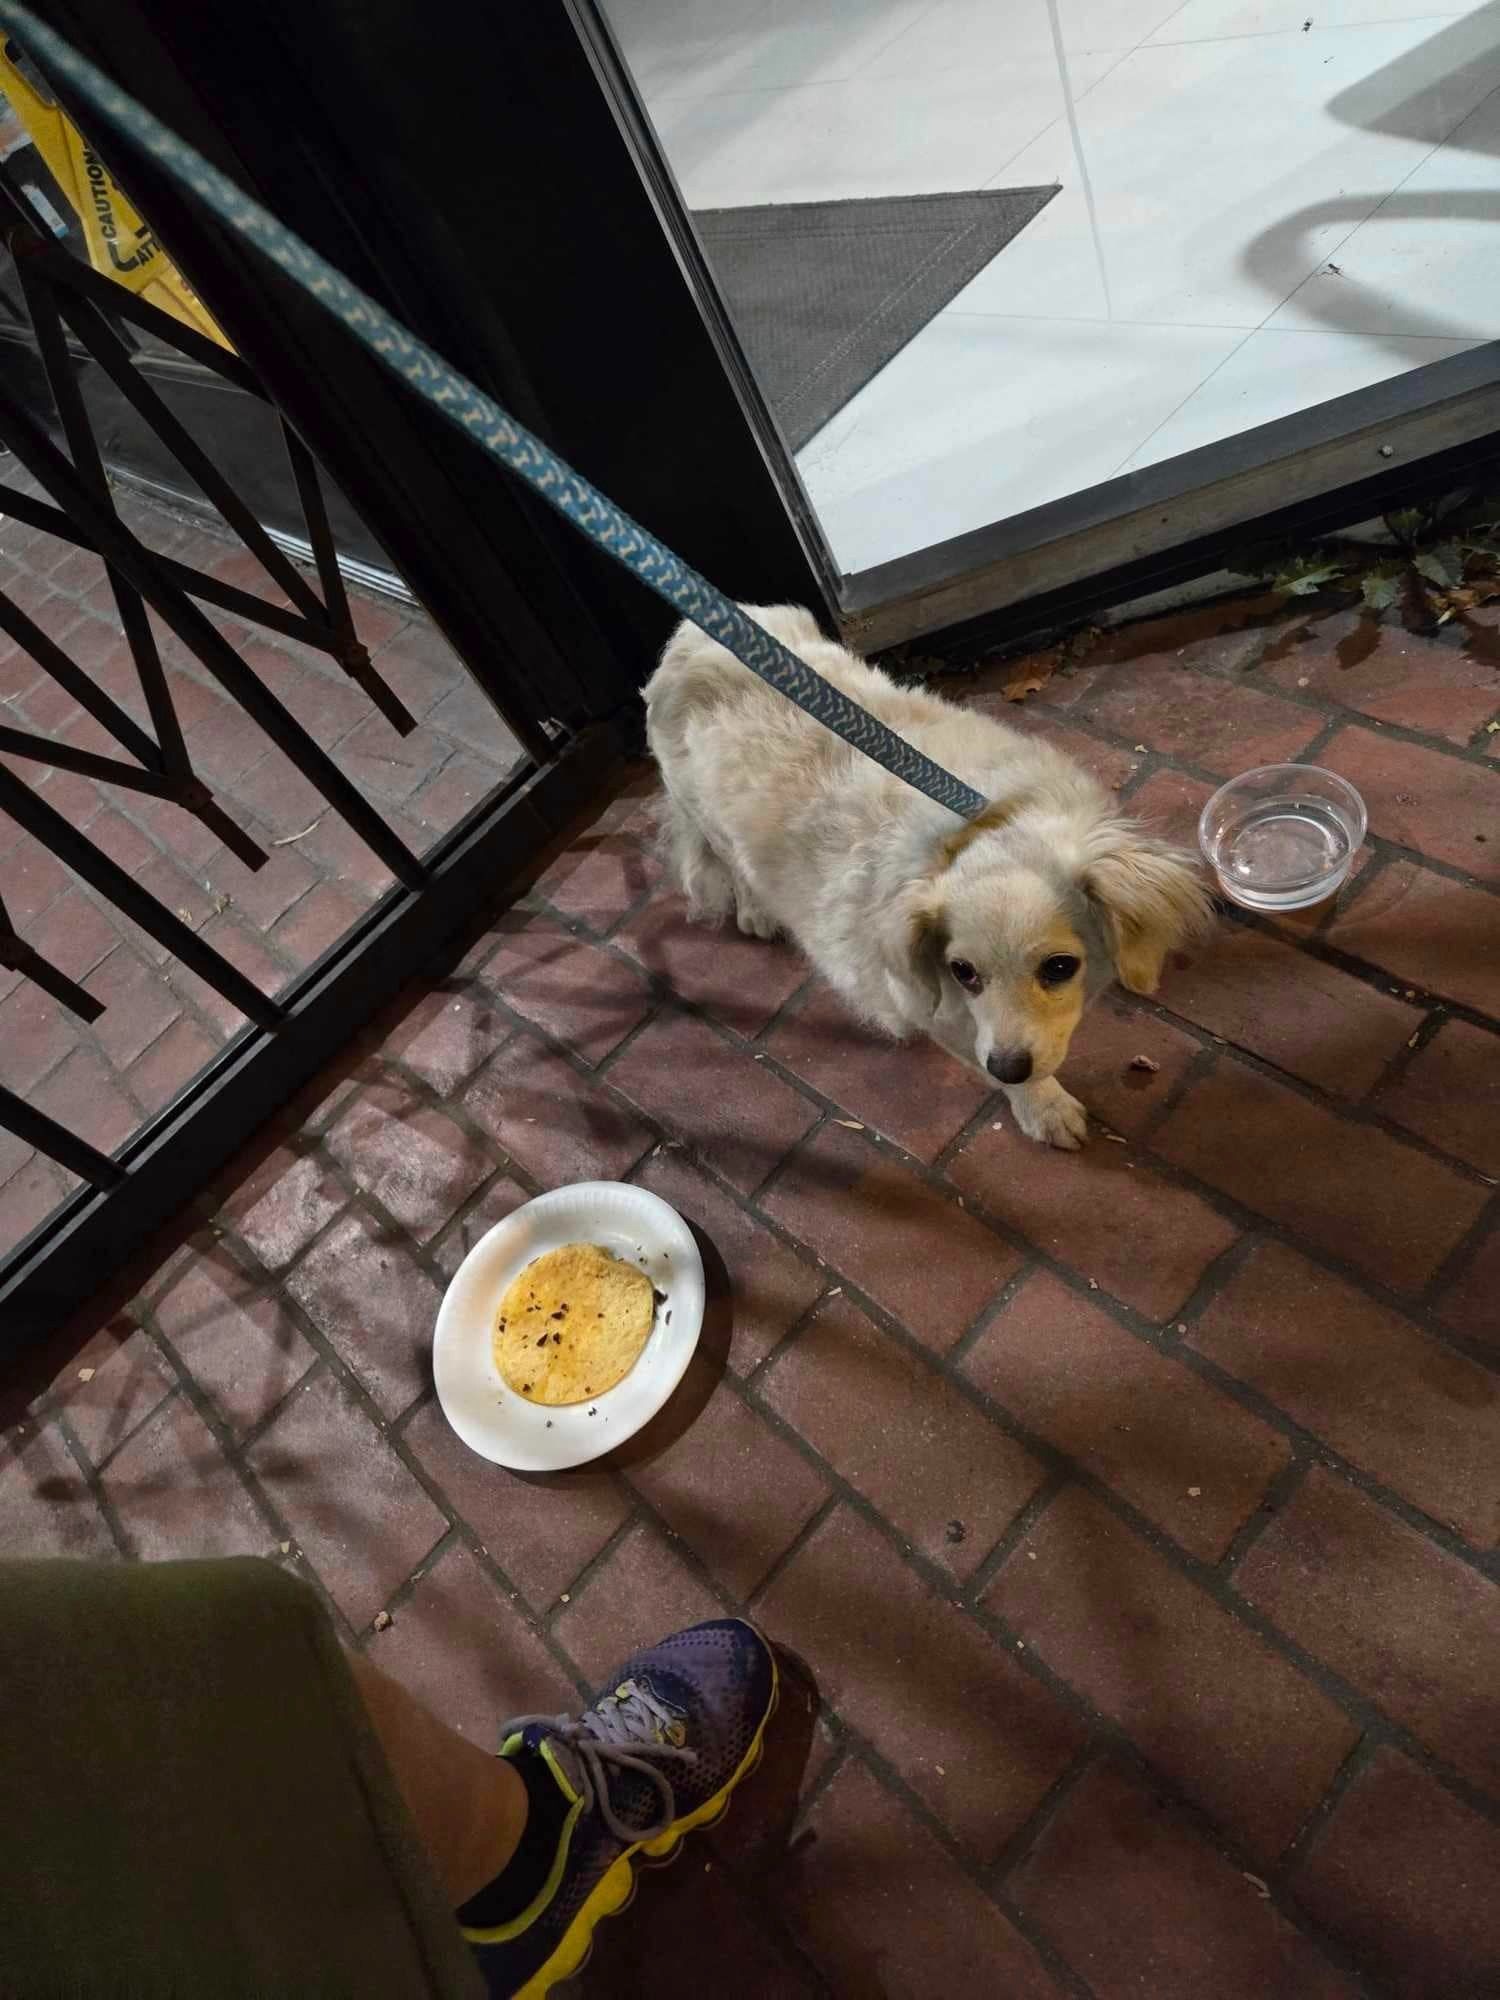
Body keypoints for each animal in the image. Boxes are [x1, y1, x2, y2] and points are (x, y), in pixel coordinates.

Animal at [644, 600, 1208, 1152]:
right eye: (963, 972)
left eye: (1060, 967)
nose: (1007, 1066)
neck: (980, 825)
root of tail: (686, 639)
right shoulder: (930, 1007)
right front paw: (1043, 1108)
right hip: (702, 810)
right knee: (730, 858)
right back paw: (755, 910)